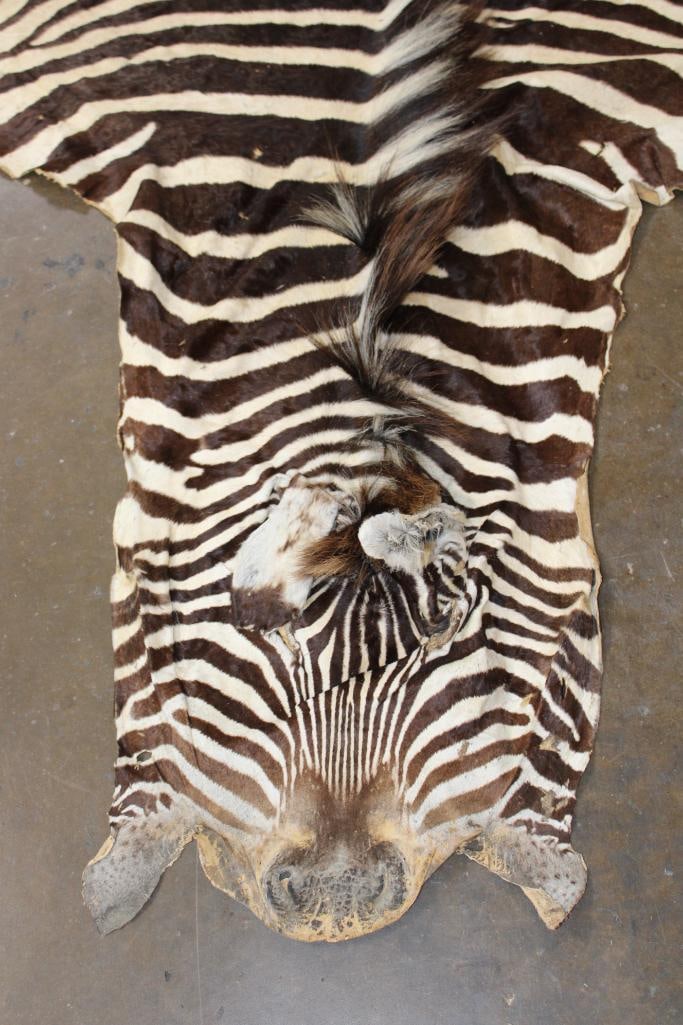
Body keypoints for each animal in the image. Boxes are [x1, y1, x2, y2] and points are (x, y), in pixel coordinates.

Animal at [0, 0, 680, 942]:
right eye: (277, 638)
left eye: (445, 642)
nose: (332, 905)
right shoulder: (150, 537)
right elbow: (144, 686)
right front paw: (129, 858)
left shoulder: (563, 555)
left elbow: (557, 698)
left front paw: (536, 857)